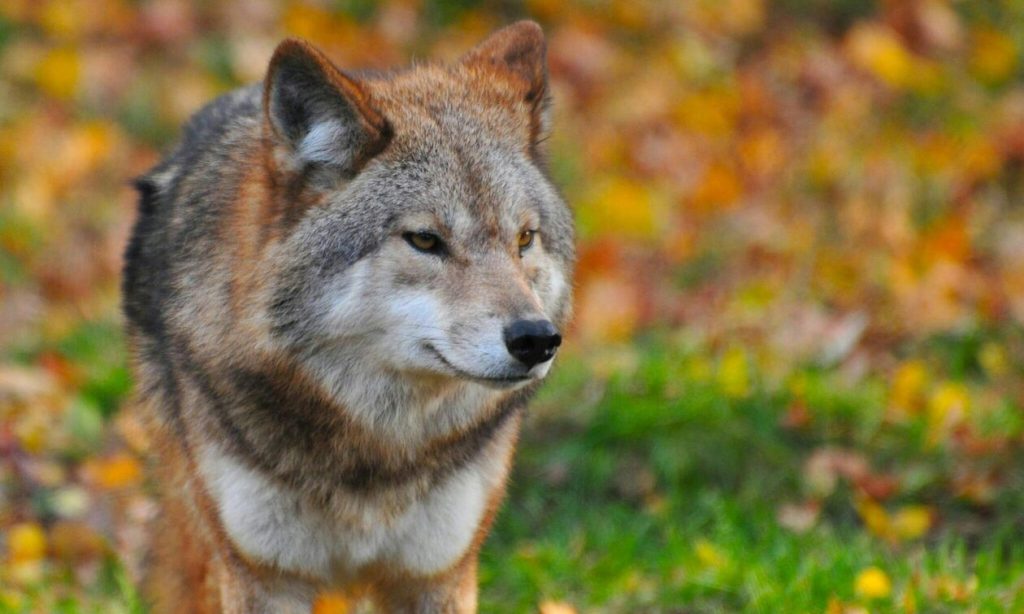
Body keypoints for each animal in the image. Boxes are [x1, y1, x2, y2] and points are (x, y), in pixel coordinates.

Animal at [121, 20, 574, 613]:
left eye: (524, 239)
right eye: (425, 240)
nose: (537, 339)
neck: (375, 453)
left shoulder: (437, 574)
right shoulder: (263, 577)